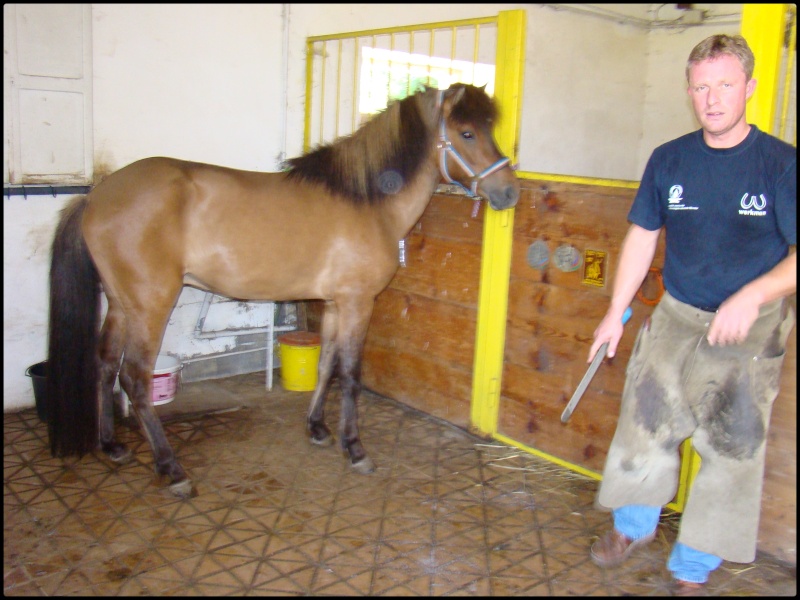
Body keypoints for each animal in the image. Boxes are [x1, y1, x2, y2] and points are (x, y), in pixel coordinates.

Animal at [45, 84, 520, 496]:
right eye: (466, 132)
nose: (509, 192)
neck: (366, 202)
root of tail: (96, 195)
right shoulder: (357, 302)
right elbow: (351, 374)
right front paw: (355, 448)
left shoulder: (333, 303)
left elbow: (327, 364)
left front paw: (318, 428)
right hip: (150, 306)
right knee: (134, 378)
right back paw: (172, 469)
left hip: (119, 304)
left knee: (106, 364)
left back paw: (112, 446)